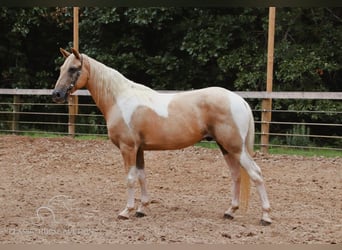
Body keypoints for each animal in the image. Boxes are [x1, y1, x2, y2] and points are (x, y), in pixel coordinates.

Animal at [52, 47, 272, 226]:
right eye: (61, 68)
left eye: (73, 69)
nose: (57, 94)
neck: (120, 99)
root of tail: (238, 100)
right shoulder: (139, 149)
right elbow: (142, 176)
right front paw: (142, 209)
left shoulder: (128, 148)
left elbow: (130, 178)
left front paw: (126, 211)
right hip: (226, 148)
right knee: (236, 175)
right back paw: (230, 211)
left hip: (236, 148)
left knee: (256, 174)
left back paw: (266, 216)